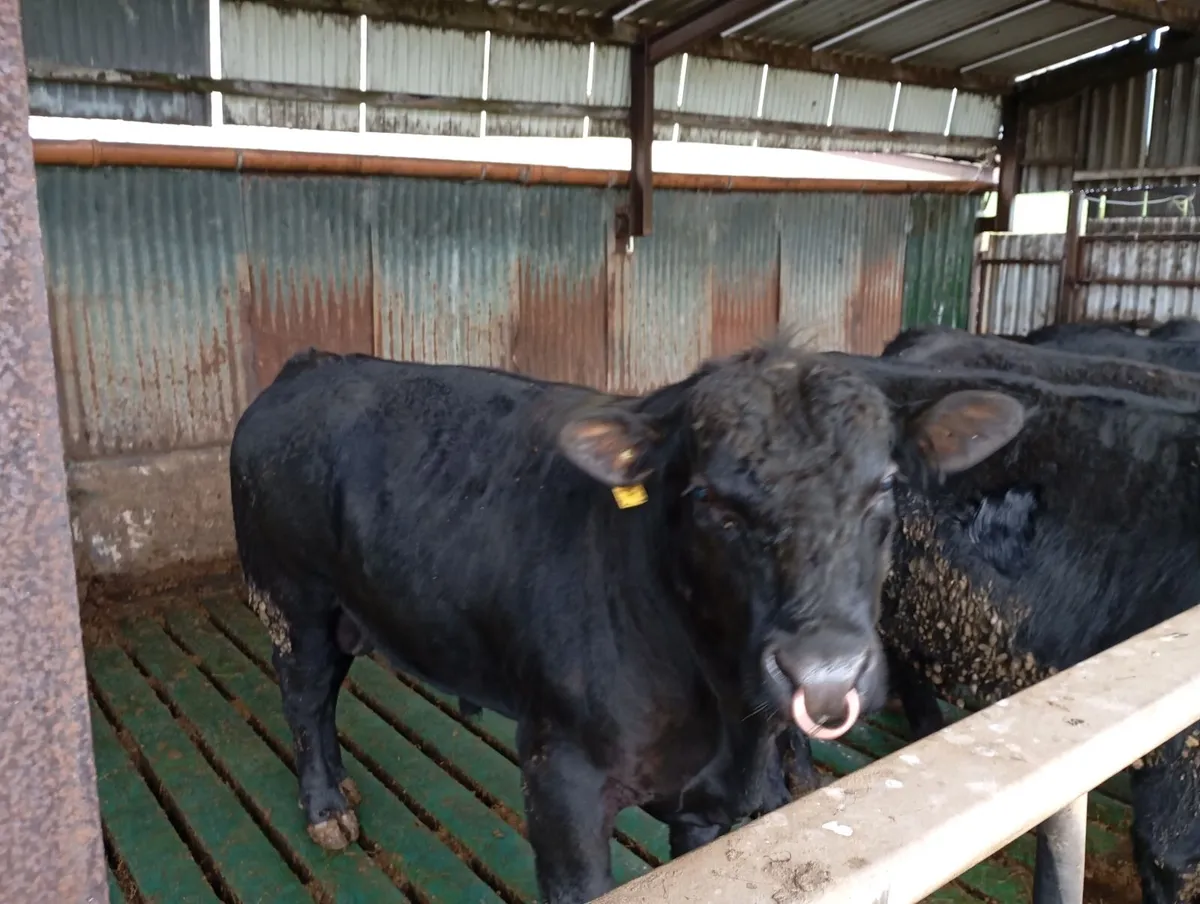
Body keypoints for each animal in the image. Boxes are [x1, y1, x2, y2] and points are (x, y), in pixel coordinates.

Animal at [228, 344, 1024, 904]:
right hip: (294, 600)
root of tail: (311, 365)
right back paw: (326, 807)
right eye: (706, 498)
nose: (826, 675)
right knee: (303, 697)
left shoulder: (706, 807)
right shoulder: (561, 777)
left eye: (884, 485)